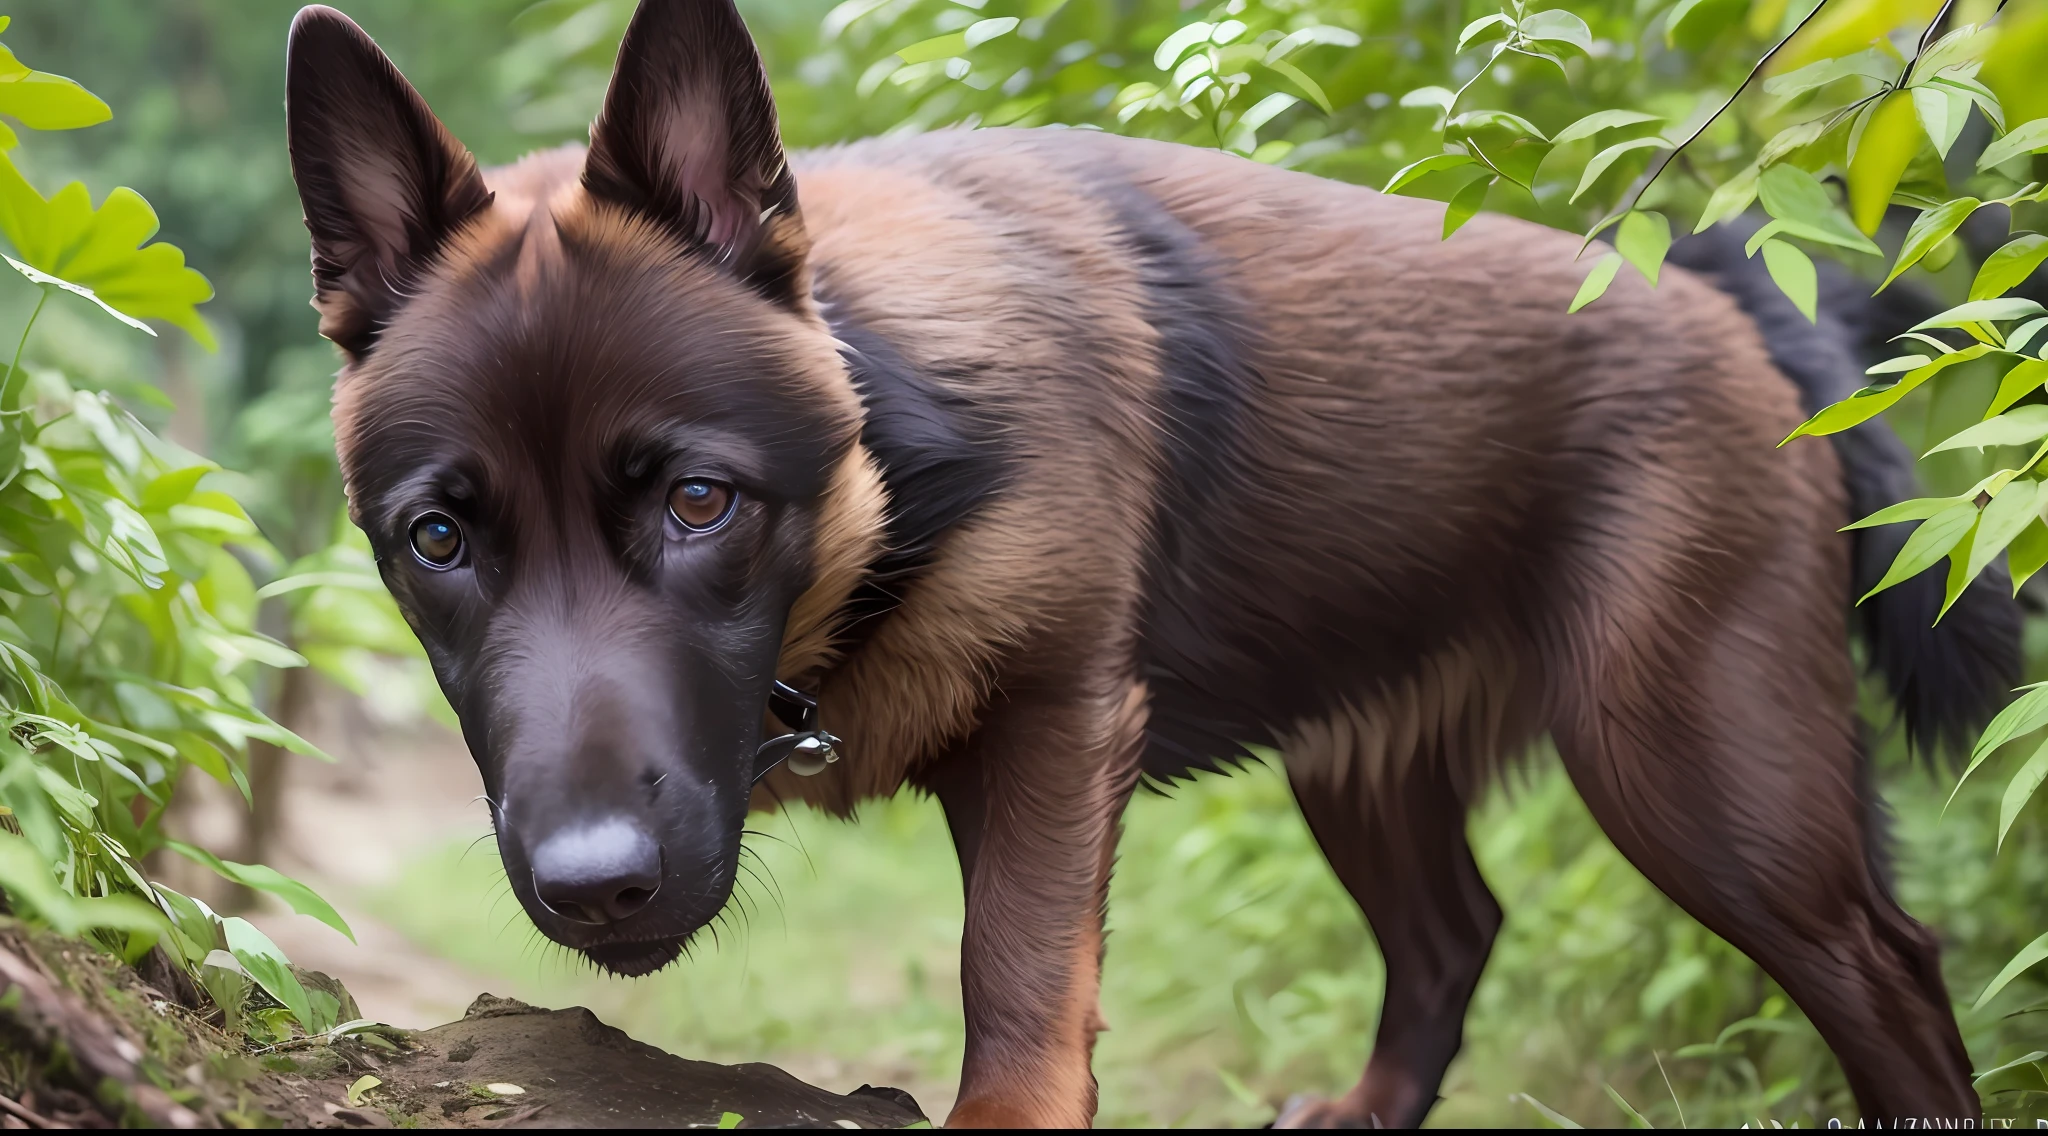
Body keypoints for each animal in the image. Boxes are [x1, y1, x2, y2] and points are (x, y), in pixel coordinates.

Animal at [288, 0, 2015, 1121]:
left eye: (702, 504)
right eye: (438, 540)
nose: (597, 889)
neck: (892, 454)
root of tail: (1721, 292)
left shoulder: (1054, 738)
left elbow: (1015, 999)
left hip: (1698, 778)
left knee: (1889, 973)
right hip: (1365, 760)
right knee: (1452, 938)